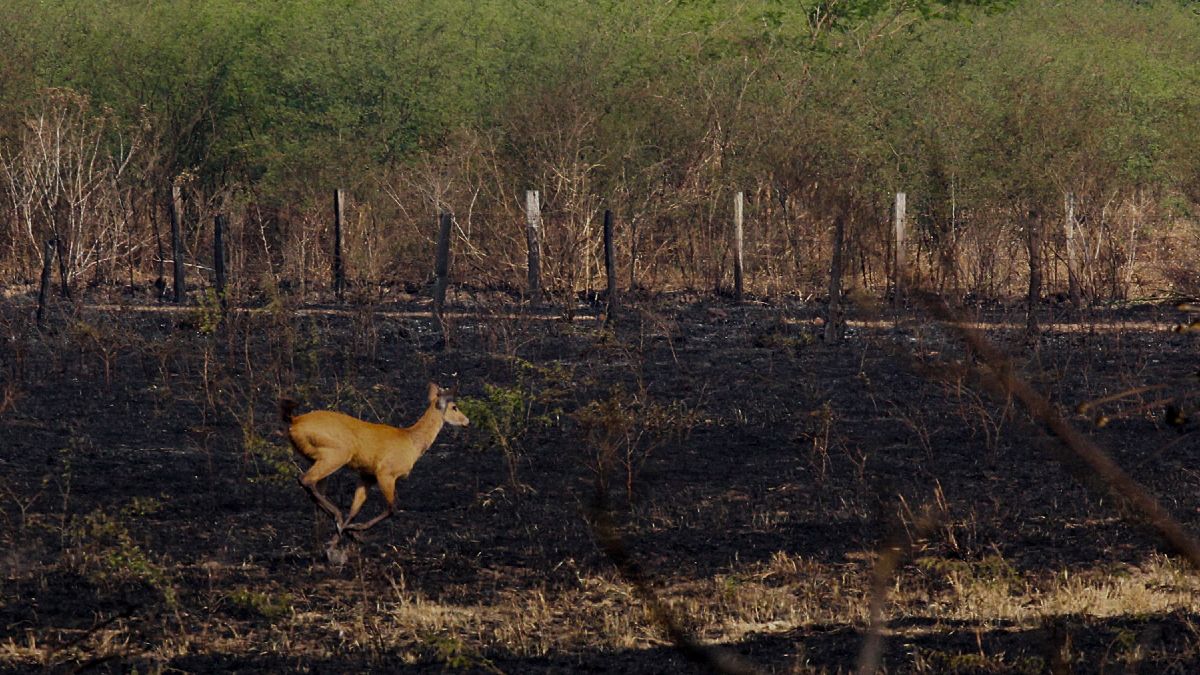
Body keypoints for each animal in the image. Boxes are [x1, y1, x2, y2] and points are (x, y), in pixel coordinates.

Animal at [279, 381, 468, 542]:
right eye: (454, 407)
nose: (467, 421)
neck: (412, 442)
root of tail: (294, 421)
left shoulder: (367, 474)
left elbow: (355, 508)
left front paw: (343, 536)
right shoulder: (386, 472)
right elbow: (392, 507)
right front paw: (355, 530)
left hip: (316, 457)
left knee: (314, 488)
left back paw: (337, 522)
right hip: (336, 453)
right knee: (306, 479)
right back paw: (337, 516)